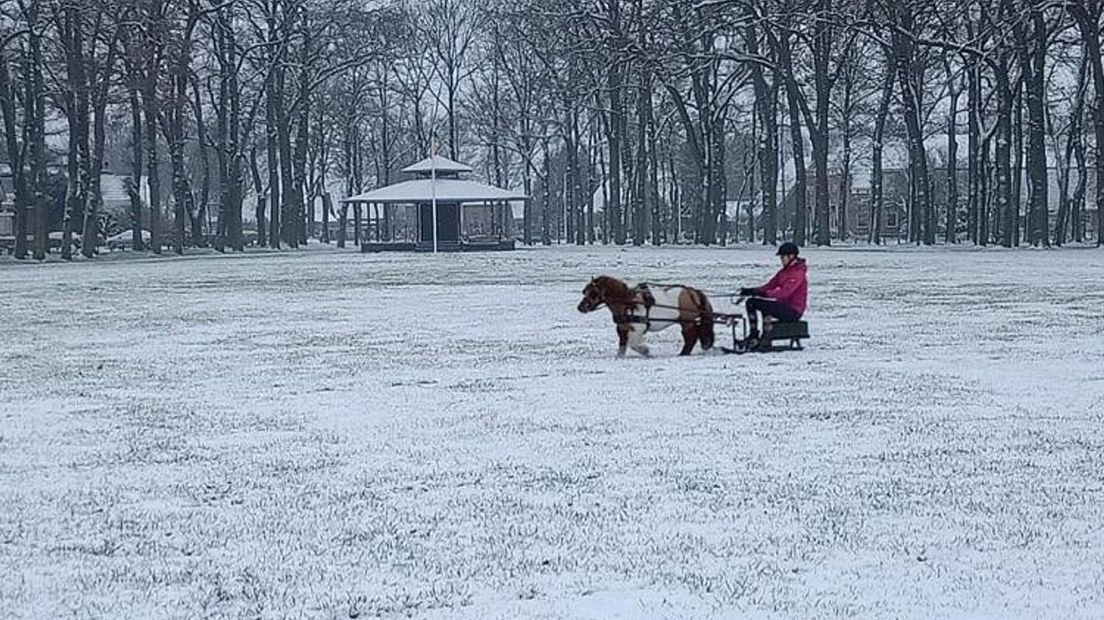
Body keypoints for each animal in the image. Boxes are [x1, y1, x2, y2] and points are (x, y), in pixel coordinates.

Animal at [578, 273, 715, 355]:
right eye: (585, 291)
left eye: (593, 293)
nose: (581, 307)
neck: (628, 302)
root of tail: (692, 292)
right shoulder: (622, 328)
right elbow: (623, 345)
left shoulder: (638, 327)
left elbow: (633, 344)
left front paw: (645, 350)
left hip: (686, 321)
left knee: (690, 337)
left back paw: (683, 353)